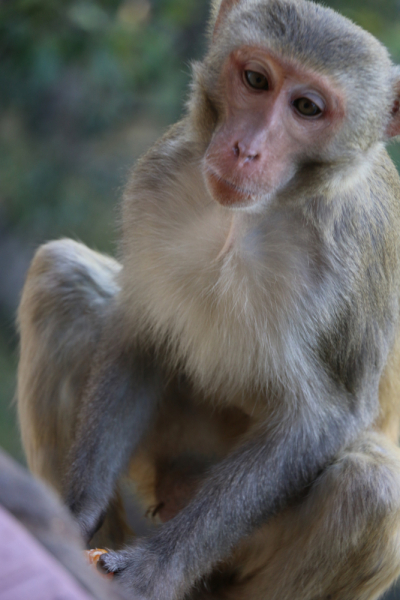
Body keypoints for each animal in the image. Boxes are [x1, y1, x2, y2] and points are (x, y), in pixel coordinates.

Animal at [16, 0, 400, 596]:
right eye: (257, 80)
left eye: (307, 108)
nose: (246, 148)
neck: (244, 218)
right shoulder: (156, 178)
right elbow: (142, 334)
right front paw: (75, 515)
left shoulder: (346, 260)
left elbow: (322, 418)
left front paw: (153, 570)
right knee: (62, 275)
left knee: (370, 488)